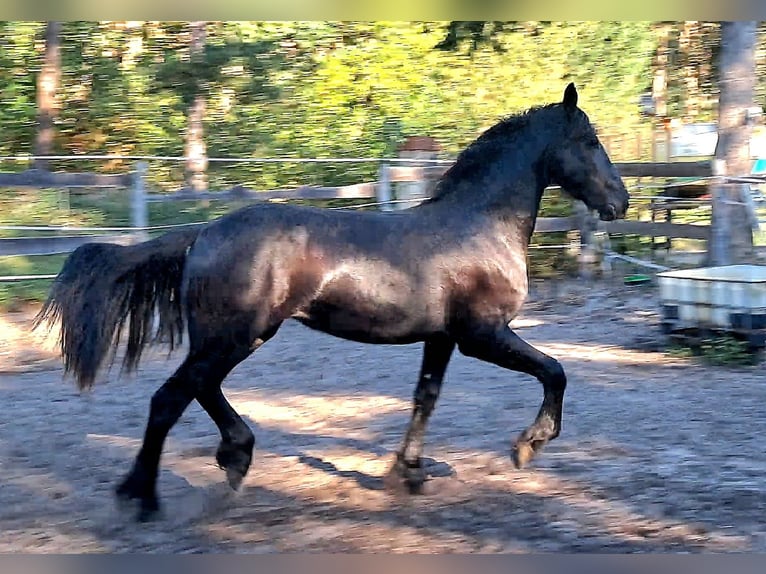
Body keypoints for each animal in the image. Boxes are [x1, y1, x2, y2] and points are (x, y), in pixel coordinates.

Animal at [35, 83, 629, 522]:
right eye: (589, 141)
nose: (620, 202)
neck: (479, 226)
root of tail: (203, 233)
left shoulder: (441, 339)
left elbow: (425, 398)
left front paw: (408, 473)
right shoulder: (483, 334)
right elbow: (554, 370)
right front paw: (529, 444)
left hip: (236, 337)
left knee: (198, 390)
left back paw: (233, 456)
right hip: (233, 337)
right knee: (170, 399)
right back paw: (144, 496)